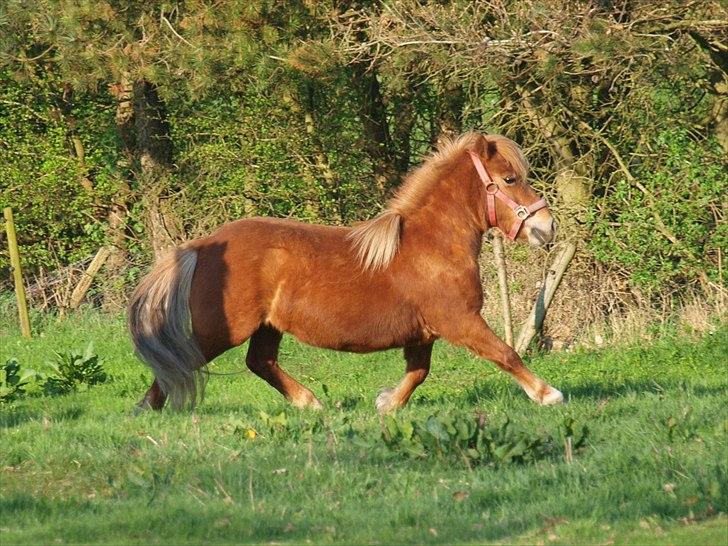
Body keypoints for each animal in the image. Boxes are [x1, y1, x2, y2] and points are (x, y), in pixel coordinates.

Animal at [129, 133, 564, 412]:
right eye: (510, 179)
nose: (548, 227)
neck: (432, 245)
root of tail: (200, 246)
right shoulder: (459, 320)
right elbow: (505, 353)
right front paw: (547, 394)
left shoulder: (424, 332)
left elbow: (418, 372)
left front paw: (387, 404)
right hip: (224, 330)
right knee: (182, 360)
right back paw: (147, 407)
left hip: (267, 327)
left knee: (260, 362)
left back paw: (310, 403)